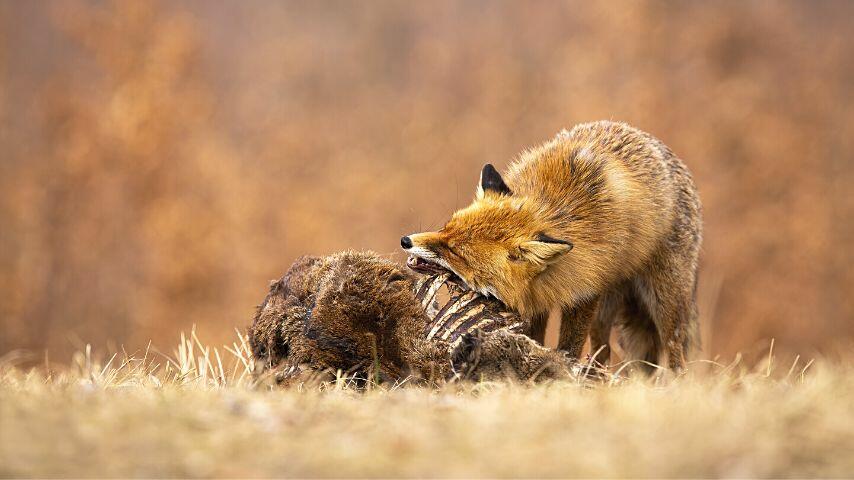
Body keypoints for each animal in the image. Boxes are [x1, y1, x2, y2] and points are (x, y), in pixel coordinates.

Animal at [404, 121, 704, 372]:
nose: (405, 240)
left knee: (674, 351)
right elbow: (534, 336)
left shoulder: (585, 292)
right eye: (446, 227)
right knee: (603, 350)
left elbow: (569, 345)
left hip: (664, 301)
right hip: (607, 312)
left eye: (456, 251)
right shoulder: (536, 299)